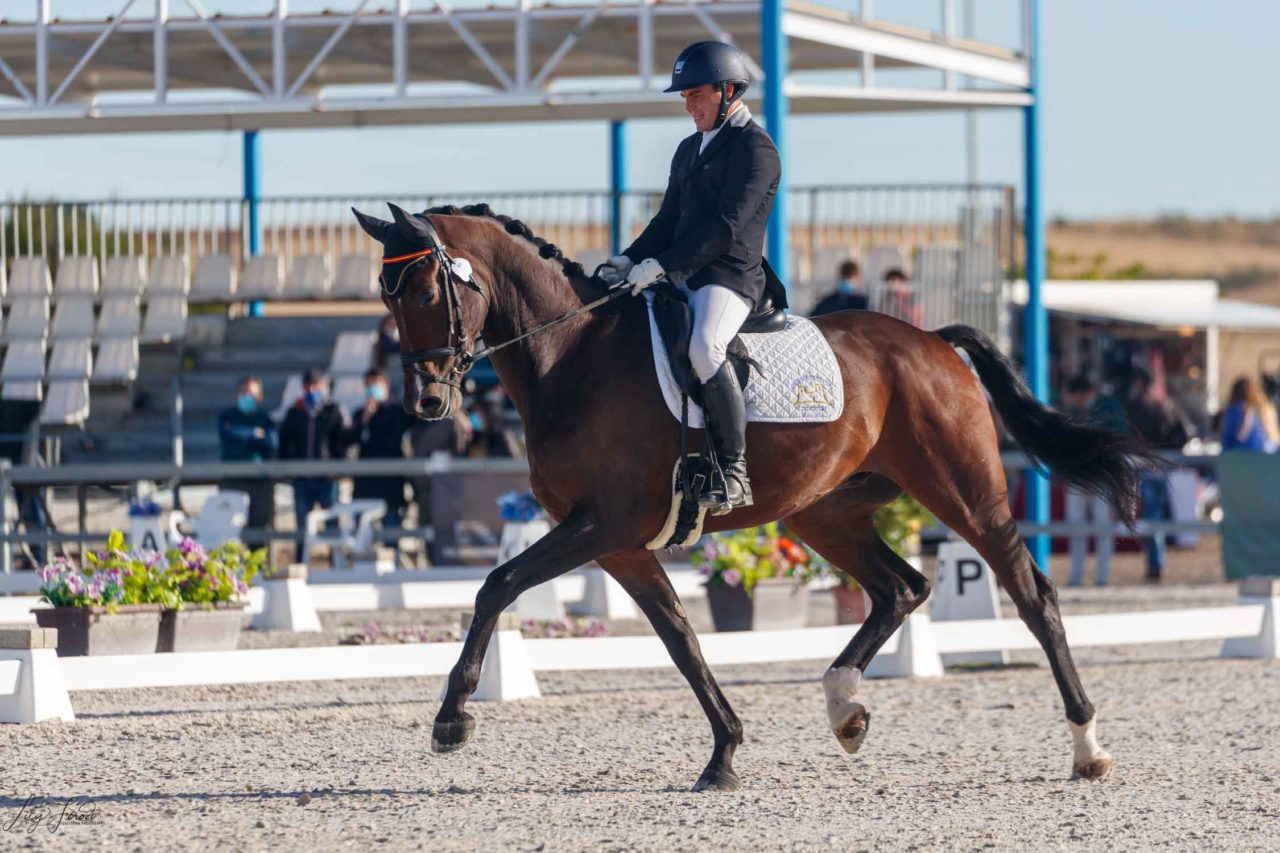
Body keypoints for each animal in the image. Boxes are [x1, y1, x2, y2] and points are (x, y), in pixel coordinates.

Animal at [353, 202, 1152, 788]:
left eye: (427, 291)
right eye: (387, 298)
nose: (427, 402)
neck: (572, 356)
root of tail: (932, 342)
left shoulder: (600, 524)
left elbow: (498, 584)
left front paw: (452, 719)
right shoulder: (619, 543)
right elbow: (680, 636)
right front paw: (725, 753)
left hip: (965, 492)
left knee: (1031, 594)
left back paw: (1087, 746)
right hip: (826, 511)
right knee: (902, 587)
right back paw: (845, 708)